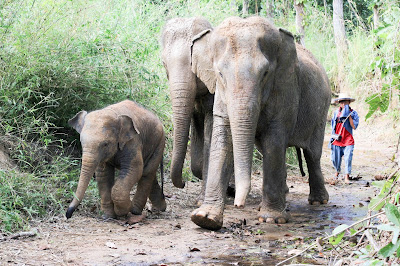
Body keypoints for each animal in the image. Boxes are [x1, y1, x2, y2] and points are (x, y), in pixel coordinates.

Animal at [191, 16, 332, 230]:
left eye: (265, 73)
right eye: (220, 74)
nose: (238, 205)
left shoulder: (284, 88)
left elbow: (274, 140)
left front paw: (271, 219)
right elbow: (222, 139)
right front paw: (204, 219)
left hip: (322, 109)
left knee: (312, 154)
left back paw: (318, 201)